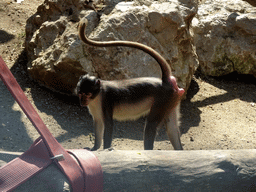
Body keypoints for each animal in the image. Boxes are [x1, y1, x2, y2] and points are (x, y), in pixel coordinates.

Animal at [75, 17, 185, 150]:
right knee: (172, 128)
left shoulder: (106, 101)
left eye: (87, 94)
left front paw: (106, 149)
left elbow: (109, 125)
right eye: (80, 94)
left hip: (163, 100)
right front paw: (95, 148)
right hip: (172, 100)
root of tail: (166, 81)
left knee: (151, 126)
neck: (98, 94)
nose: (82, 102)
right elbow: (98, 124)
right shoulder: (94, 107)